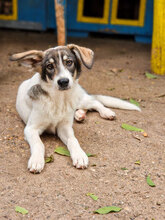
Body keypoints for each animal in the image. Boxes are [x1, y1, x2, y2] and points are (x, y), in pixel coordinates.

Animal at [10, 43, 141, 173]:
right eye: (49, 66)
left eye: (69, 62)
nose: (63, 81)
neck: (59, 100)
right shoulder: (30, 129)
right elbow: (38, 143)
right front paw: (36, 160)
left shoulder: (64, 127)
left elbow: (73, 140)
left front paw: (79, 155)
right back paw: (79, 115)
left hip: (79, 97)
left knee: (95, 102)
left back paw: (105, 112)